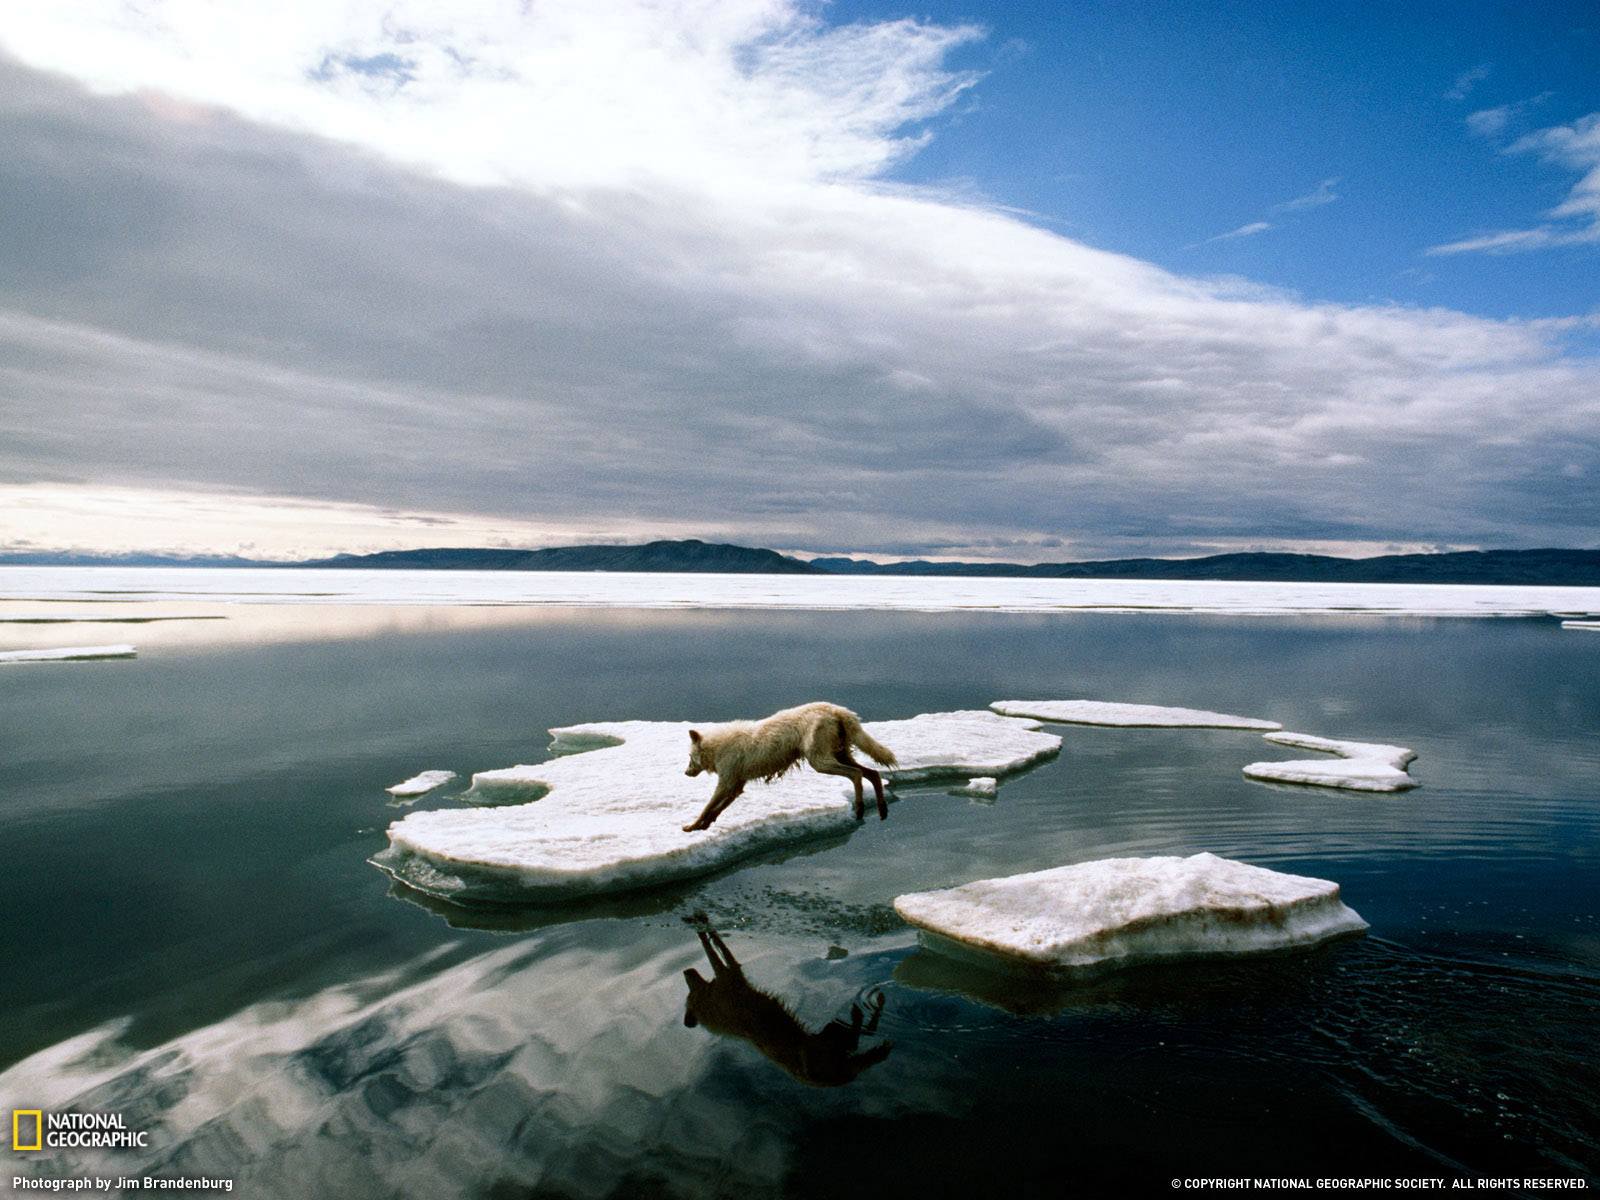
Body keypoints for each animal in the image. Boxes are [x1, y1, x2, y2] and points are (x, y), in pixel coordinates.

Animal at [678, 704, 902, 838]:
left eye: (689, 757)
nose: (686, 773)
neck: (717, 748)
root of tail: (838, 710)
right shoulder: (736, 786)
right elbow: (715, 810)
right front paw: (703, 826)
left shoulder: (726, 783)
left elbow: (707, 807)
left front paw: (691, 826)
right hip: (839, 755)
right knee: (873, 773)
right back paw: (882, 809)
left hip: (820, 761)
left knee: (856, 775)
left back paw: (860, 808)